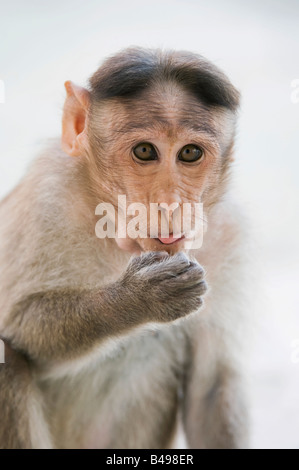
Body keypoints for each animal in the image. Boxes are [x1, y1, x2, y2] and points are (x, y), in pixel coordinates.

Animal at [0, 47, 250, 448]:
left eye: (190, 153)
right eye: (145, 151)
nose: (170, 204)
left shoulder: (229, 235)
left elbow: (211, 387)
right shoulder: (46, 196)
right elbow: (20, 327)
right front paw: (135, 300)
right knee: (7, 357)